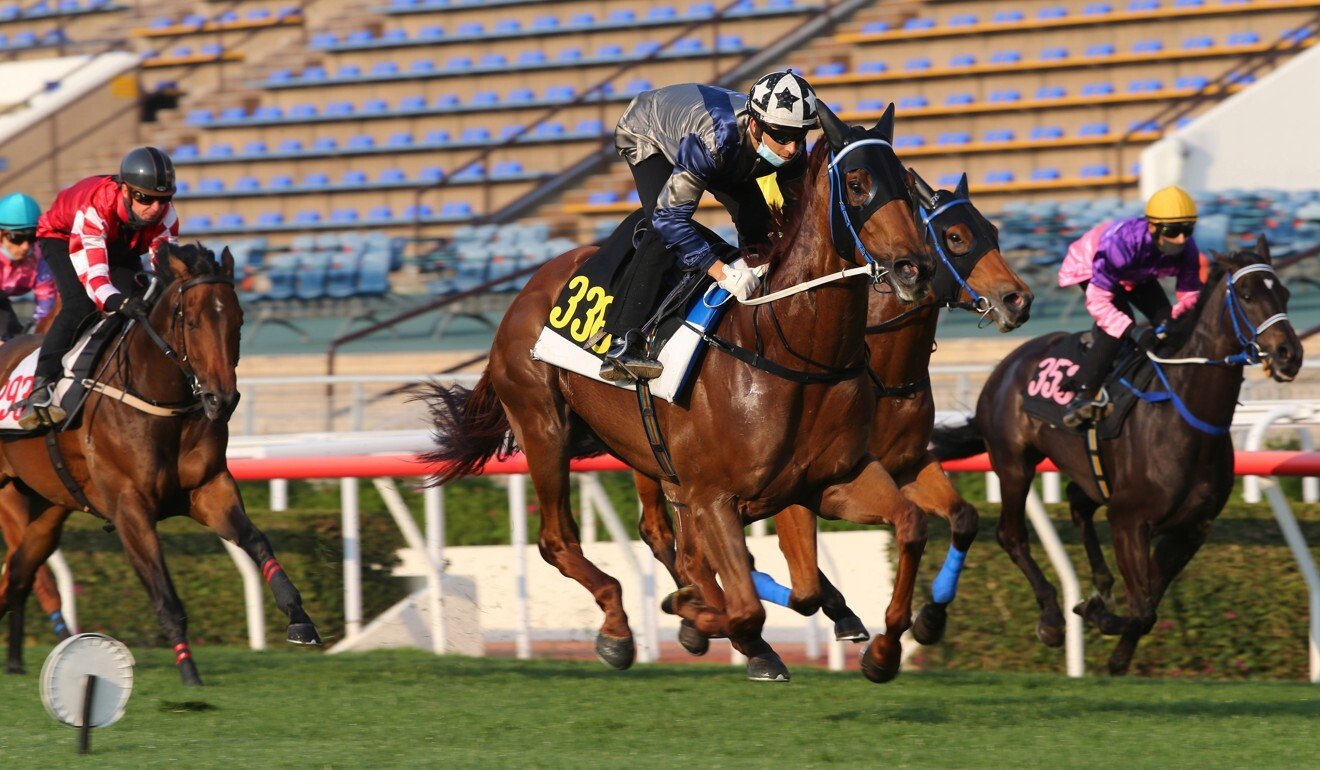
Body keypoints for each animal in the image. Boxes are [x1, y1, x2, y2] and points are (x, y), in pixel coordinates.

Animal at [0, 244, 319, 681]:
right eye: (194, 322)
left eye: (238, 320)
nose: (222, 400)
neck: (162, 402)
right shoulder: (129, 506)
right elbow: (164, 594)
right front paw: (188, 670)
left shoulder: (209, 488)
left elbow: (257, 541)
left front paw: (299, 617)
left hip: (47, 507)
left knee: (19, 572)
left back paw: (16, 659)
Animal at [425, 102, 939, 681]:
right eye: (856, 183)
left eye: (908, 185)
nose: (915, 268)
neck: (790, 347)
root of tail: (528, 290)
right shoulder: (712, 496)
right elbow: (743, 606)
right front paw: (702, 617)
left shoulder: (828, 479)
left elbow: (908, 525)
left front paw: (883, 649)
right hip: (543, 426)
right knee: (558, 539)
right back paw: (621, 628)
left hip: (636, 448)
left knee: (657, 532)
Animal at [633, 169, 1034, 649]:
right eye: (955, 237)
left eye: (992, 230)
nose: (1019, 299)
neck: (885, 374)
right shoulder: (791, 483)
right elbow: (797, 578)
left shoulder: (904, 464)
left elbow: (964, 517)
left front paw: (930, 617)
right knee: (670, 537)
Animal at [934, 239, 1304, 676]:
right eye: (1246, 295)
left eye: (1285, 293)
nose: (1290, 354)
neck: (1185, 416)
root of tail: (1006, 364)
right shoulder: (1130, 520)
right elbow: (1143, 609)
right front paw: (1098, 617)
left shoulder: (1192, 528)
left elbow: (1150, 601)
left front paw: (1116, 650)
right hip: (1012, 461)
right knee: (1012, 534)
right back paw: (1052, 618)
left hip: (1086, 471)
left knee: (1078, 503)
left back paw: (1100, 585)